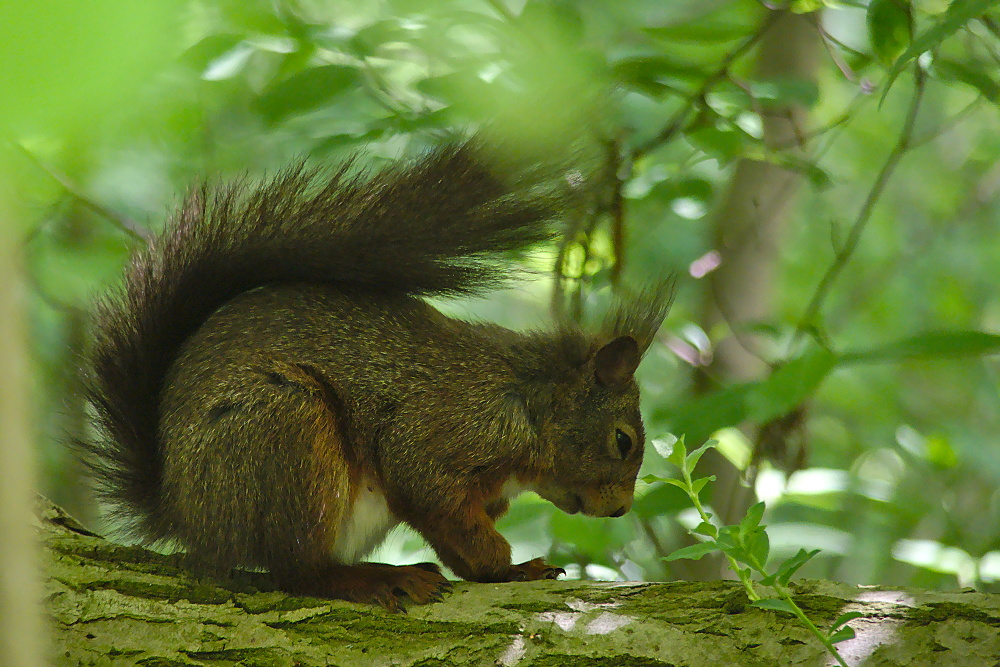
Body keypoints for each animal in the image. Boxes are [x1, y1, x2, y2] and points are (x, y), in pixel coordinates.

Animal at [82, 140, 676, 612]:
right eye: (623, 441)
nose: (620, 509)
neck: (527, 403)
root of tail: (181, 508)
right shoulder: (443, 436)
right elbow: (436, 499)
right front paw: (509, 568)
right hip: (283, 429)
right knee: (298, 571)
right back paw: (370, 580)